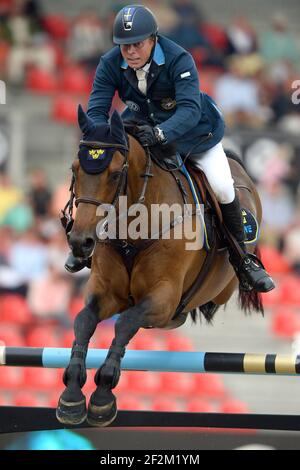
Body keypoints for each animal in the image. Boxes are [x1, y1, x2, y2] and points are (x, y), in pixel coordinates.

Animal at [56, 105, 262, 426]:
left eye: (116, 174)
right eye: (74, 170)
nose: (80, 242)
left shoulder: (162, 297)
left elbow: (126, 322)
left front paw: (103, 395)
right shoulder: (106, 293)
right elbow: (84, 321)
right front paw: (72, 393)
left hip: (222, 286)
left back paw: (252, 272)